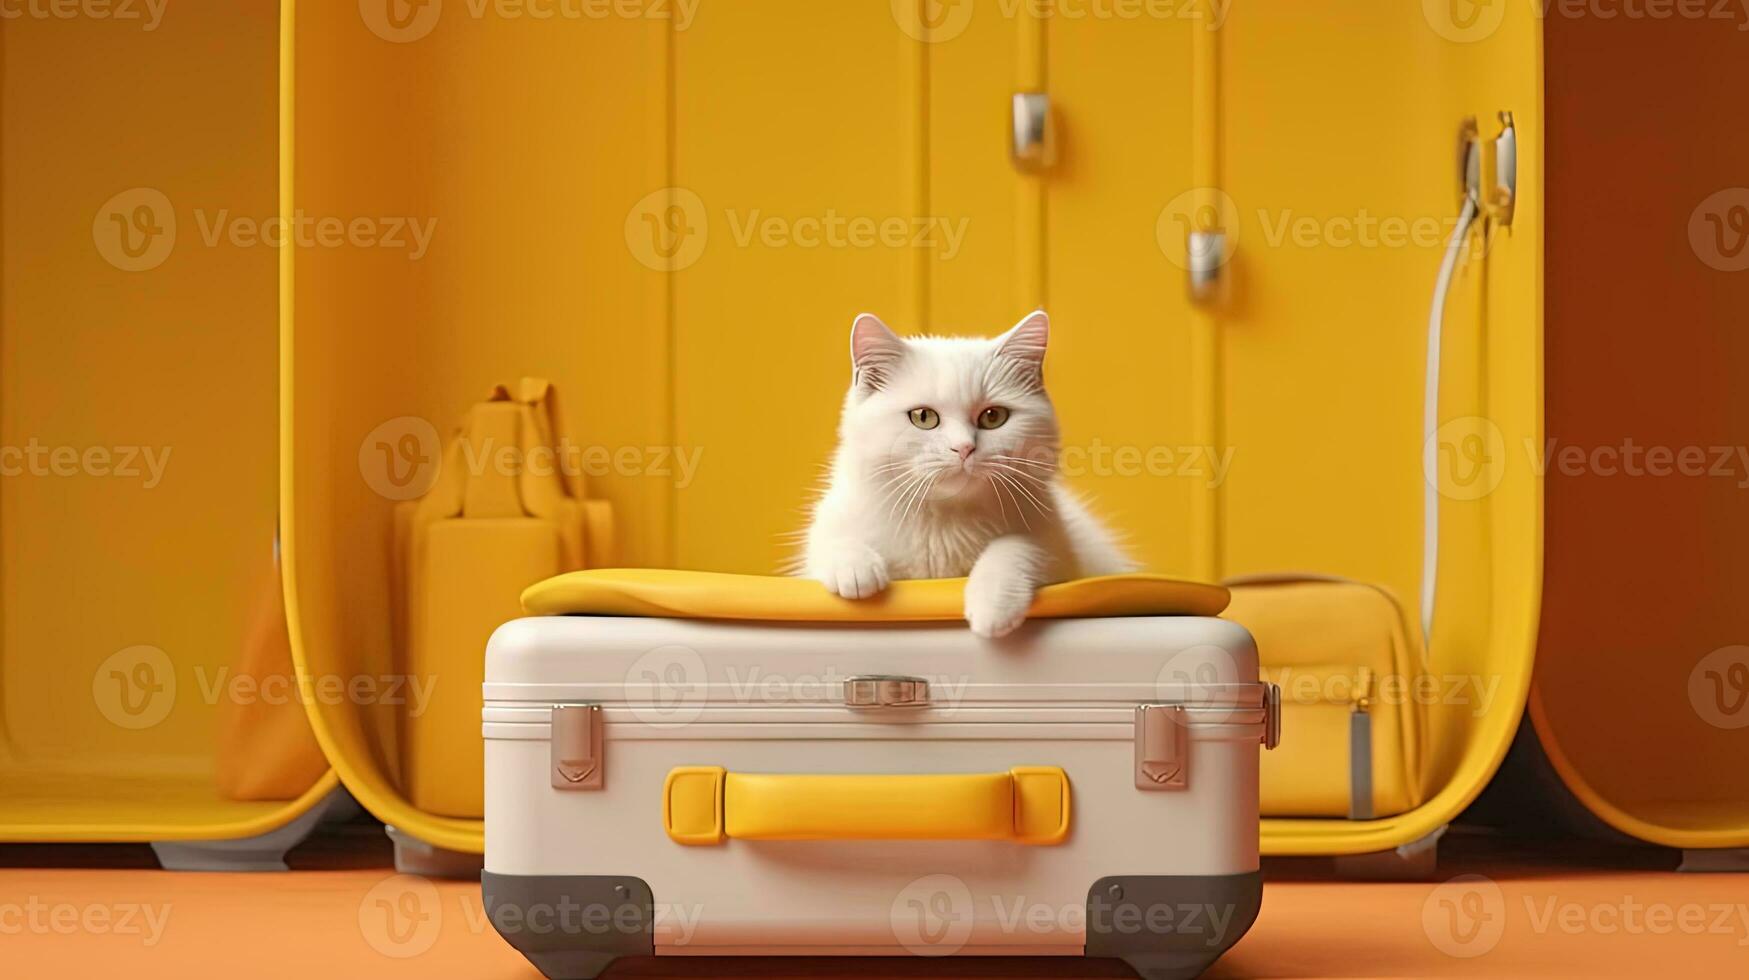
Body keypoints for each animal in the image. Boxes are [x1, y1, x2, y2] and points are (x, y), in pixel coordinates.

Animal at [797, 309, 1126, 640]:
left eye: (993, 417)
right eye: (923, 417)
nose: (964, 447)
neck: (943, 521)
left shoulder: (1059, 551)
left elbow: (1016, 546)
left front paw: (994, 604)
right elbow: (828, 539)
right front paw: (855, 568)